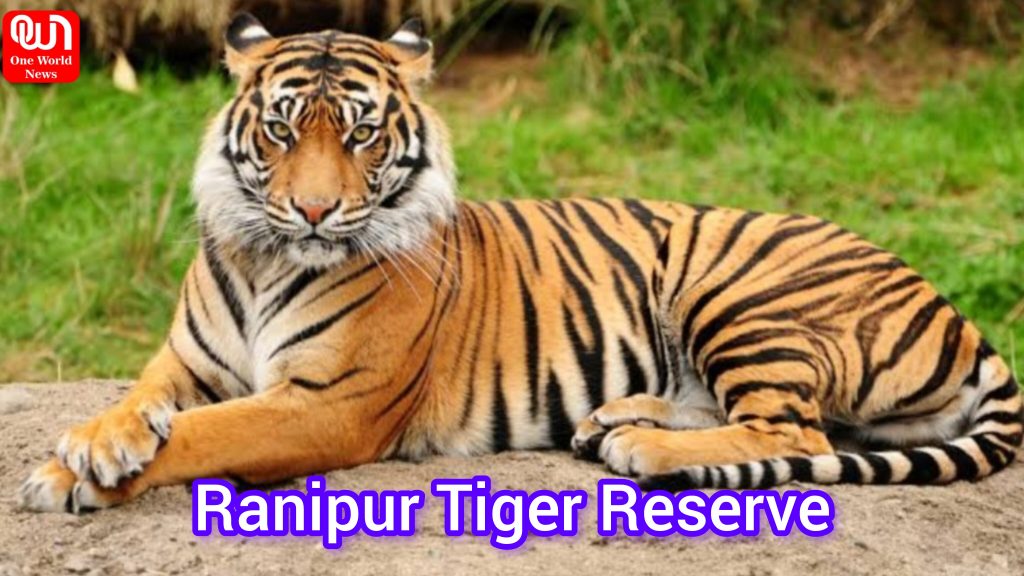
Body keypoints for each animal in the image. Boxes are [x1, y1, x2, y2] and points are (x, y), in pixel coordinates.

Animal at [18, 13, 1022, 514]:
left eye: (361, 134)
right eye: (281, 129)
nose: (313, 209)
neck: (269, 258)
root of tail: (955, 310)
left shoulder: (327, 403)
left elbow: (202, 435)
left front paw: (72, 477)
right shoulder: (183, 363)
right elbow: (143, 405)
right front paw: (92, 445)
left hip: (736, 287)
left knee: (794, 432)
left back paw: (644, 447)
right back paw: (613, 420)